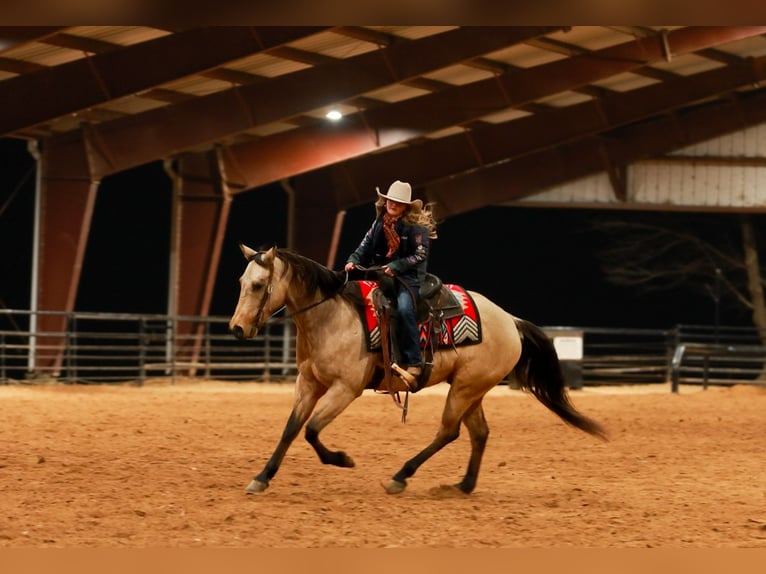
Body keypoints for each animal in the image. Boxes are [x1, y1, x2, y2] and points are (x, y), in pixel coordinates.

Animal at [229, 244, 608, 495]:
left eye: (259, 286)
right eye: (241, 282)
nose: (236, 328)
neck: (332, 317)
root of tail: (510, 320)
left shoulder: (345, 389)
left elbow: (311, 431)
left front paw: (343, 459)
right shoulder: (308, 384)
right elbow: (291, 429)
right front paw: (262, 477)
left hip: (465, 388)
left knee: (449, 432)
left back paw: (401, 476)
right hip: (473, 388)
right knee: (479, 433)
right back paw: (463, 485)